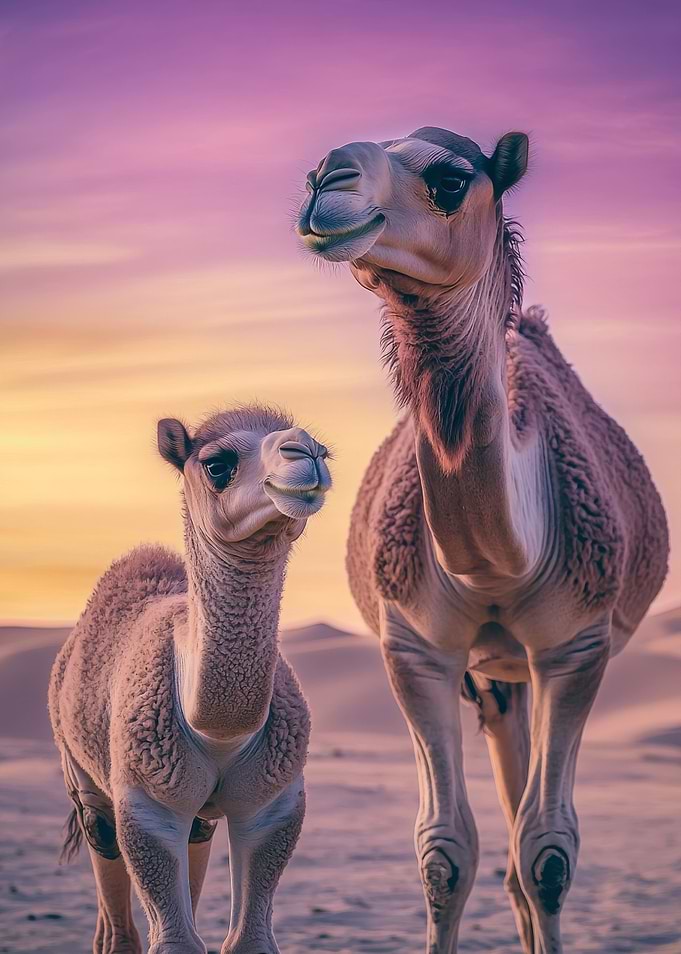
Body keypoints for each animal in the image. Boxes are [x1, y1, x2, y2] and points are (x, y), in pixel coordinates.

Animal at [48, 404, 332, 954]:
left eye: (325, 451)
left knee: (197, 833)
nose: (305, 453)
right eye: (217, 464)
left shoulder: (274, 801)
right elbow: (174, 938)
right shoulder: (147, 799)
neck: (217, 727)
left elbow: (248, 940)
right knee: (101, 840)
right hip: (79, 764)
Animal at [295, 127, 669, 953]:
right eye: (311, 175)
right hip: (492, 676)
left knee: (527, 841)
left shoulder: (576, 648)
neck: (499, 565)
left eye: (448, 178)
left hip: (526, 665)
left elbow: (549, 852)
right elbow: (444, 851)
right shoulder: (414, 649)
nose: (324, 181)